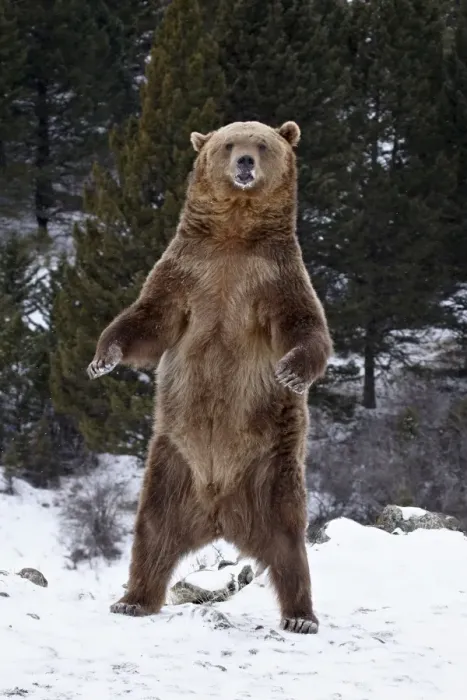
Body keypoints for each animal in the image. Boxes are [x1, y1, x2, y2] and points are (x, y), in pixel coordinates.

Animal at [87, 119, 333, 634]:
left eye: (262, 144)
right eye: (228, 144)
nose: (245, 163)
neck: (234, 237)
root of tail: (220, 513)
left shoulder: (273, 280)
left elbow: (303, 325)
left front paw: (291, 372)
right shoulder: (187, 272)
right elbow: (148, 320)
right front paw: (102, 358)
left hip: (273, 470)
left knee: (289, 545)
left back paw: (301, 616)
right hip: (172, 464)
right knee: (152, 532)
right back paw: (133, 599)